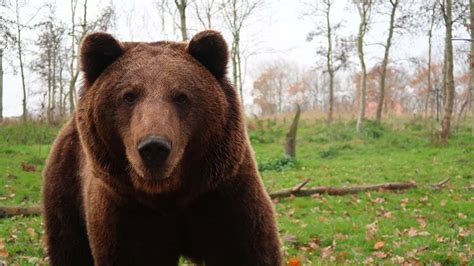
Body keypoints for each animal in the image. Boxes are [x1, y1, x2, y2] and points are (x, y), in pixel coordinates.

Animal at [41, 29, 282, 266]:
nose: (154, 147)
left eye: (181, 96)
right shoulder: (126, 212)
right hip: (67, 188)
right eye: (129, 95)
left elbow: (247, 250)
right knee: (69, 247)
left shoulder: (224, 195)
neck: (169, 195)